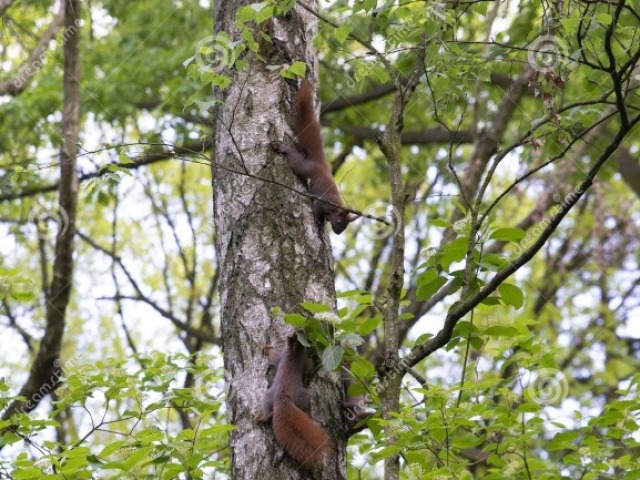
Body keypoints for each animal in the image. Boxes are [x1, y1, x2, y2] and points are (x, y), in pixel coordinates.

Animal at [258, 336, 332, 466]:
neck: (293, 352)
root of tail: (282, 398)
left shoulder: (281, 356)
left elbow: (273, 355)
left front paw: (266, 348)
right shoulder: (294, 359)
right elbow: (309, 364)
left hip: (267, 397)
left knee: (268, 413)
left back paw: (261, 418)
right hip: (302, 396)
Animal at [276, 80, 358, 234]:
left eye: (345, 227)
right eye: (339, 222)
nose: (337, 233)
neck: (334, 209)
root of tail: (321, 163)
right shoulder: (322, 204)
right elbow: (316, 210)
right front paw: (318, 225)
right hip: (304, 167)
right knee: (295, 159)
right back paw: (284, 149)